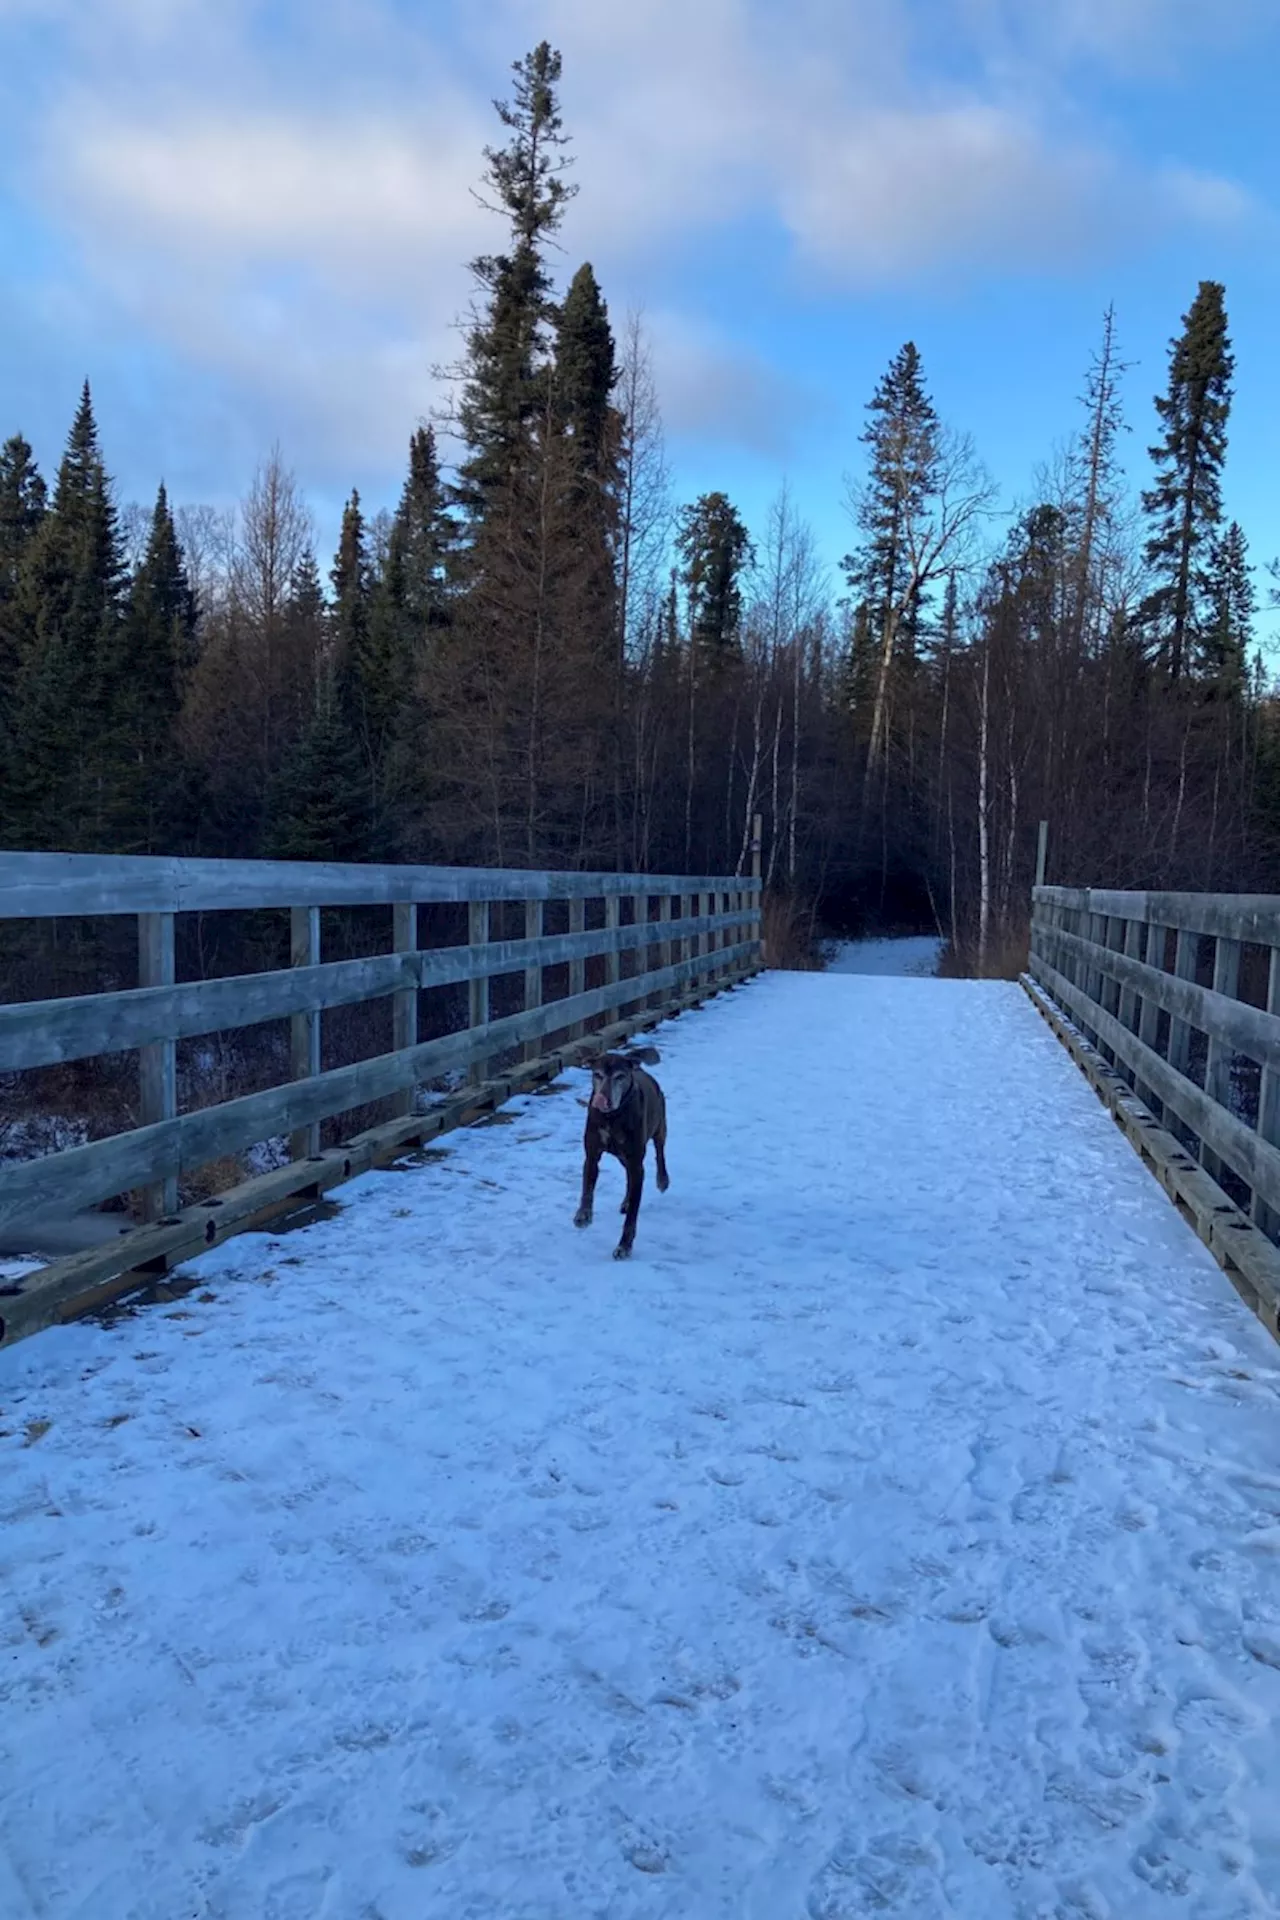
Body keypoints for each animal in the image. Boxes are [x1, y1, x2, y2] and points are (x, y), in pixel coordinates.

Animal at [571, 1052, 671, 1259]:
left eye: (620, 1077)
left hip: (659, 1125)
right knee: (628, 1176)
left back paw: (662, 1179)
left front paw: (624, 1246)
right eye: (597, 1074)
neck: (612, 1118)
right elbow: (587, 1188)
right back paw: (625, 1200)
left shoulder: (636, 1162)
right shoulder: (592, 1155)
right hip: (623, 1156)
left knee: (660, 1152)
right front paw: (583, 1214)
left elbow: (633, 1213)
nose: (604, 1099)